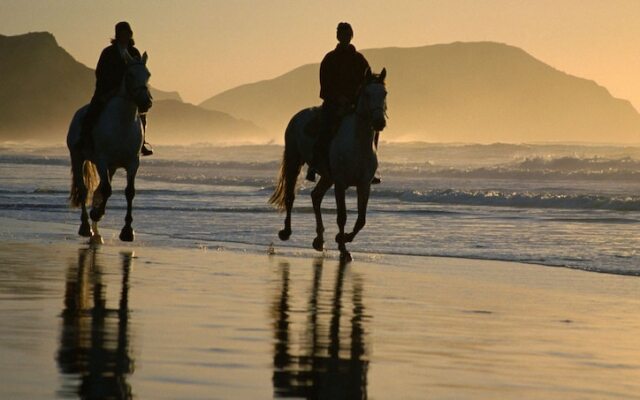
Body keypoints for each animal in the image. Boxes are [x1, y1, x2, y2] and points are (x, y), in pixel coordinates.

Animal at [66, 51, 152, 245]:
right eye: (130, 75)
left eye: (148, 75)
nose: (146, 102)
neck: (122, 124)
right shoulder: (102, 160)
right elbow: (105, 190)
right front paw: (96, 214)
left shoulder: (133, 163)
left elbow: (128, 192)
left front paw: (127, 230)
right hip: (77, 156)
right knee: (84, 189)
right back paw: (86, 227)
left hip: (112, 167)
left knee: (101, 189)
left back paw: (96, 225)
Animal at [268, 67, 388, 260]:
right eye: (367, 93)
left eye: (385, 93)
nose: (379, 122)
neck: (357, 143)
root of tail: (298, 116)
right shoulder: (340, 183)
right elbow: (342, 216)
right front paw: (343, 248)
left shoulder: (364, 185)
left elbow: (361, 220)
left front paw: (343, 238)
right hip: (295, 161)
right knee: (290, 196)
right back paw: (286, 232)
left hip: (326, 176)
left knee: (316, 196)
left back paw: (319, 240)